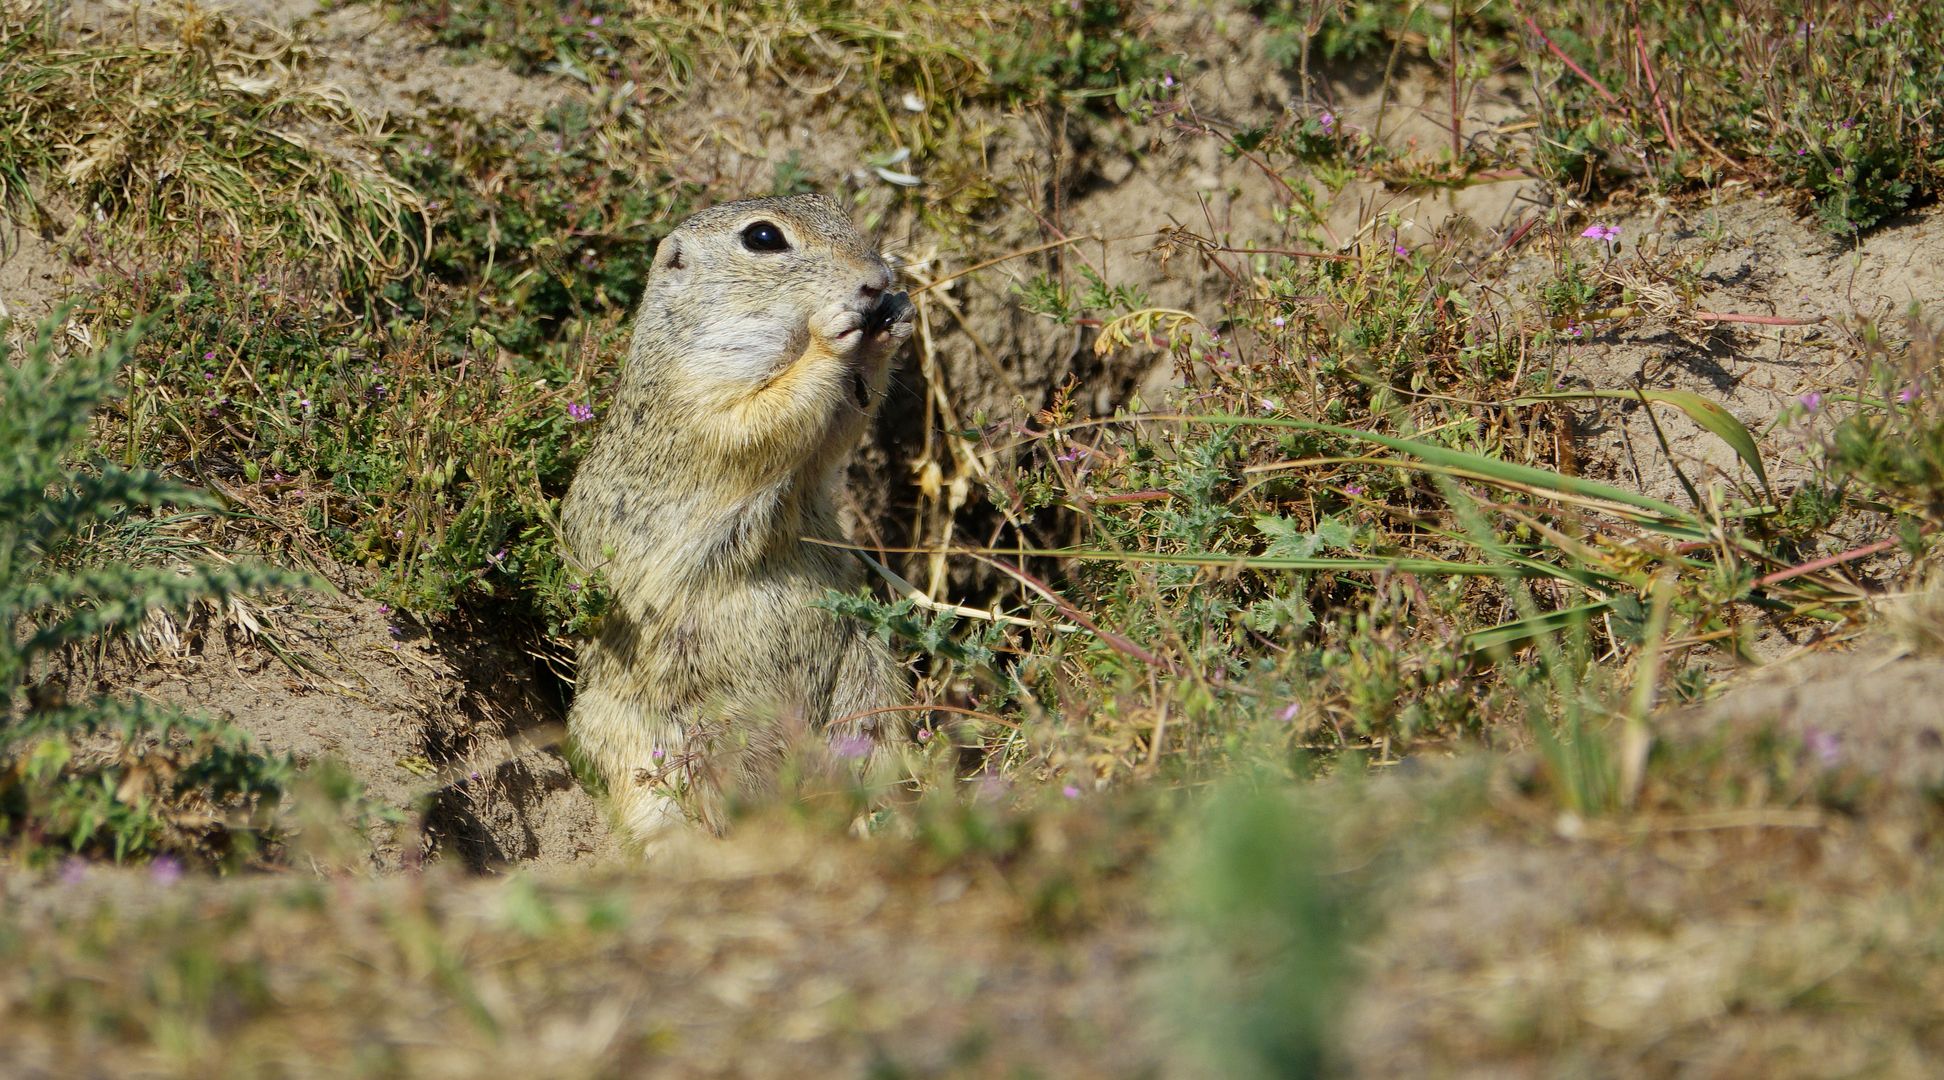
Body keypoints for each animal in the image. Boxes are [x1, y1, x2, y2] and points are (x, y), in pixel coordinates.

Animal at [567, 196, 913, 850]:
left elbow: (841, 427)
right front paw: (835, 335)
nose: (877, 280)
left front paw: (892, 325)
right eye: (763, 238)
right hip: (638, 742)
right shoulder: (704, 402)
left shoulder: (817, 456)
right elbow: (767, 414)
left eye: (832, 205)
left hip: (871, 694)